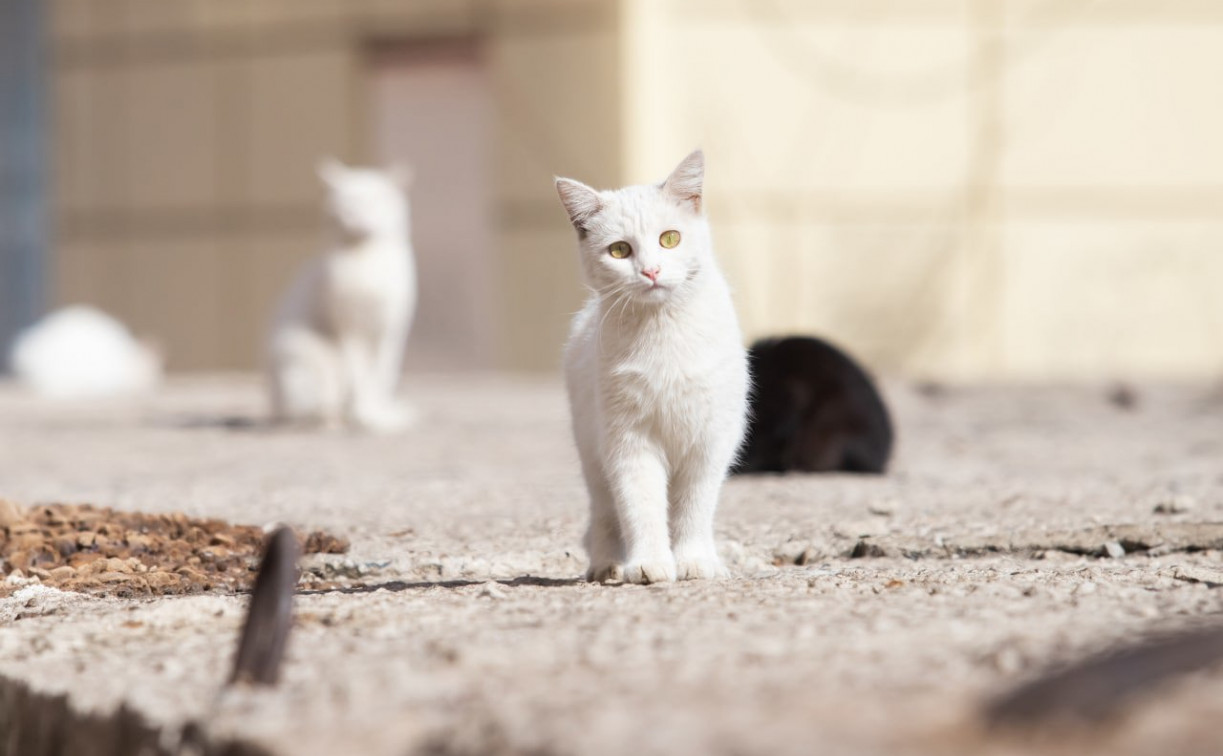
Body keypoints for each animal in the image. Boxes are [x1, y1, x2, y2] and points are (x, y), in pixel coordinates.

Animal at [265, 159, 418, 430]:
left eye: (374, 202)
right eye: (346, 204)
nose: (356, 217)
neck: (365, 258)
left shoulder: (391, 330)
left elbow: (381, 378)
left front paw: (382, 415)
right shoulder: (350, 329)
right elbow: (360, 382)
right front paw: (367, 418)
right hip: (310, 364)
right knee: (308, 412)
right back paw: (334, 421)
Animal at [555, 148, 743, 582]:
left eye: (669, 238)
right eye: (619, 251)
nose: (652, 271)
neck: (663, 330)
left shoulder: (710, 440)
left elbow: (694, 507)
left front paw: (695, 561)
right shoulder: (628, 440)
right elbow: (639, 506)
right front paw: (649, 564)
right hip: (592, 456)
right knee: (606, 514)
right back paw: (606, 564)